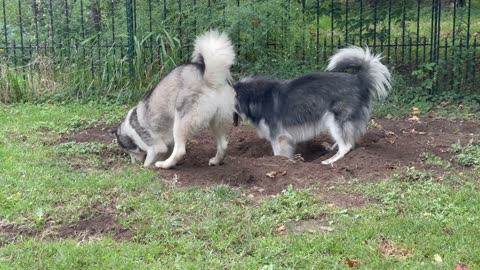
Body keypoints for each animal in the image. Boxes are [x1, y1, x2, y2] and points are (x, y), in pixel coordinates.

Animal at [232, 46, 390, 163]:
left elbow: (278, 153)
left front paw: (279, 162)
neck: (256, 99)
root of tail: (358, 79)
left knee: (346, 146)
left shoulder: (277, 135)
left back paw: (330, 160)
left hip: (335, 120)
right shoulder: (285, 137)